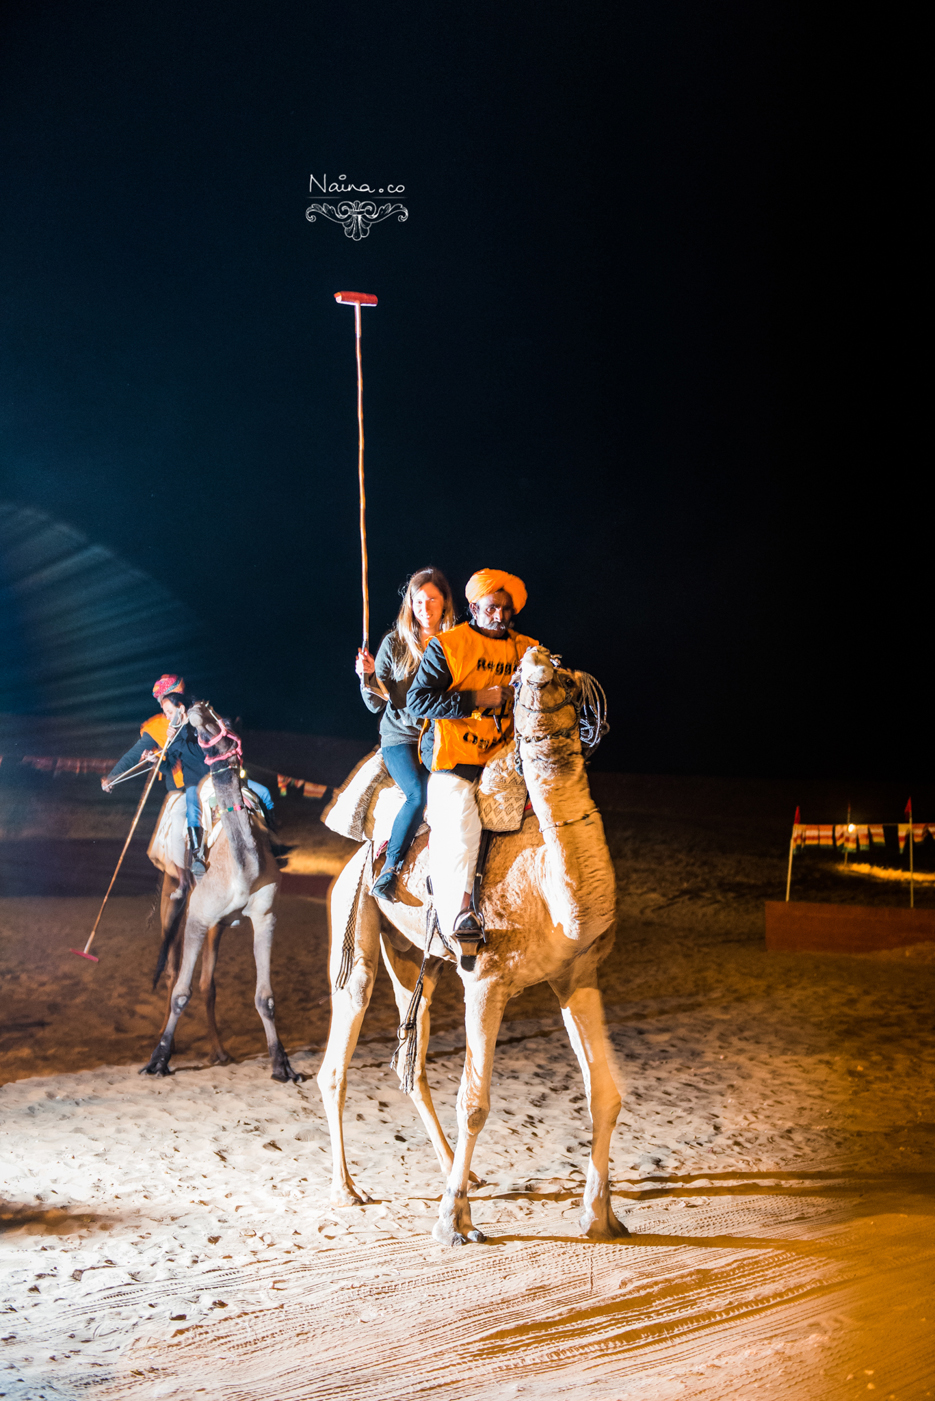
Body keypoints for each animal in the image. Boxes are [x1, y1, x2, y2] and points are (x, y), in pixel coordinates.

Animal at [140, 706, 299, 1087]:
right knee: (173, 970)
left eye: (225, 722)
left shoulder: (265, 917)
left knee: (207, 983)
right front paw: (158, 1059)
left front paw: (281, 1064)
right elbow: (180, 993)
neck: (243, 871)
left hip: (219, 925)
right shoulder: (197, 918)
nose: (198, 709)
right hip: (174, 894)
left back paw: (219, 1051)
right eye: (198, 732)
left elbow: (265, 998)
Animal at [318, 644, 633, 1249]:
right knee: (340, 1053)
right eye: (527, 678)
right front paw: (453, 1223)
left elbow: (605, 1092)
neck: (552, 884)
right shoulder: (487, 980)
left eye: (560, 670)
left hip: (415, 958)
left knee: (412, 1062)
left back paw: (458, 1174)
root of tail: (361, 853)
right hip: (355, 922)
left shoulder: (577, 975)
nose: (538, 660)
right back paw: (346, 1190)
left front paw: (601, 1216)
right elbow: (474, 1102)